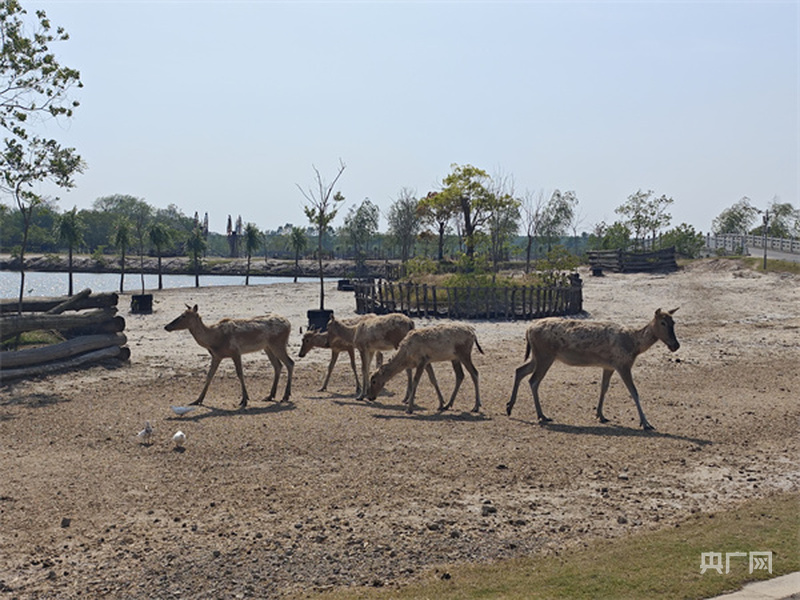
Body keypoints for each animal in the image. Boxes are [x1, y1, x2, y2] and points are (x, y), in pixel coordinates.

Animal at [164, 304, 294, 408]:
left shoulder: (235, 351)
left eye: (184, 316)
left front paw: (244, 400)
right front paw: (197, 400)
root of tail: (289, 323)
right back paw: (270, 395)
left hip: (278, 343)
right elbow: (209, 375)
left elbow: (240, 373)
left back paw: (285, 396)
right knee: (278, 365)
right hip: (267, 347)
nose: (166, 326)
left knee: (290, 362)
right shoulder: (216, 356)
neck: (214, 341)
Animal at [506, 308, 680, 430]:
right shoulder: (623, 364)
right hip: (545, 355)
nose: (675, 345)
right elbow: (634, 392)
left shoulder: (609, 366)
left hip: (538, 355)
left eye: (674, 322)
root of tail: (528, 329)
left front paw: (600, 415)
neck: (634, 346)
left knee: (519, 370)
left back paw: (509, 407)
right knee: (533, 380)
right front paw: (646, 423)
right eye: (663, 323)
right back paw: (541, 415)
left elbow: (604, 388)